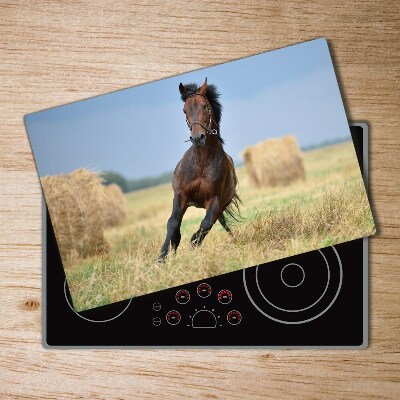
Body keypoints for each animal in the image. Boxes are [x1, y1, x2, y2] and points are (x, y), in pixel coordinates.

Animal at [159, 78, 241, 260]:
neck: (202, 163)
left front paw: (192, 246)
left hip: (221, 206)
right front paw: (162, 257)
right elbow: (172, 224)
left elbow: (204, 225)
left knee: (208, 225)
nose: (197, 138)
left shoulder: (214, 200)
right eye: (184, 110)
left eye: (205, 106)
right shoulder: (180, 195)